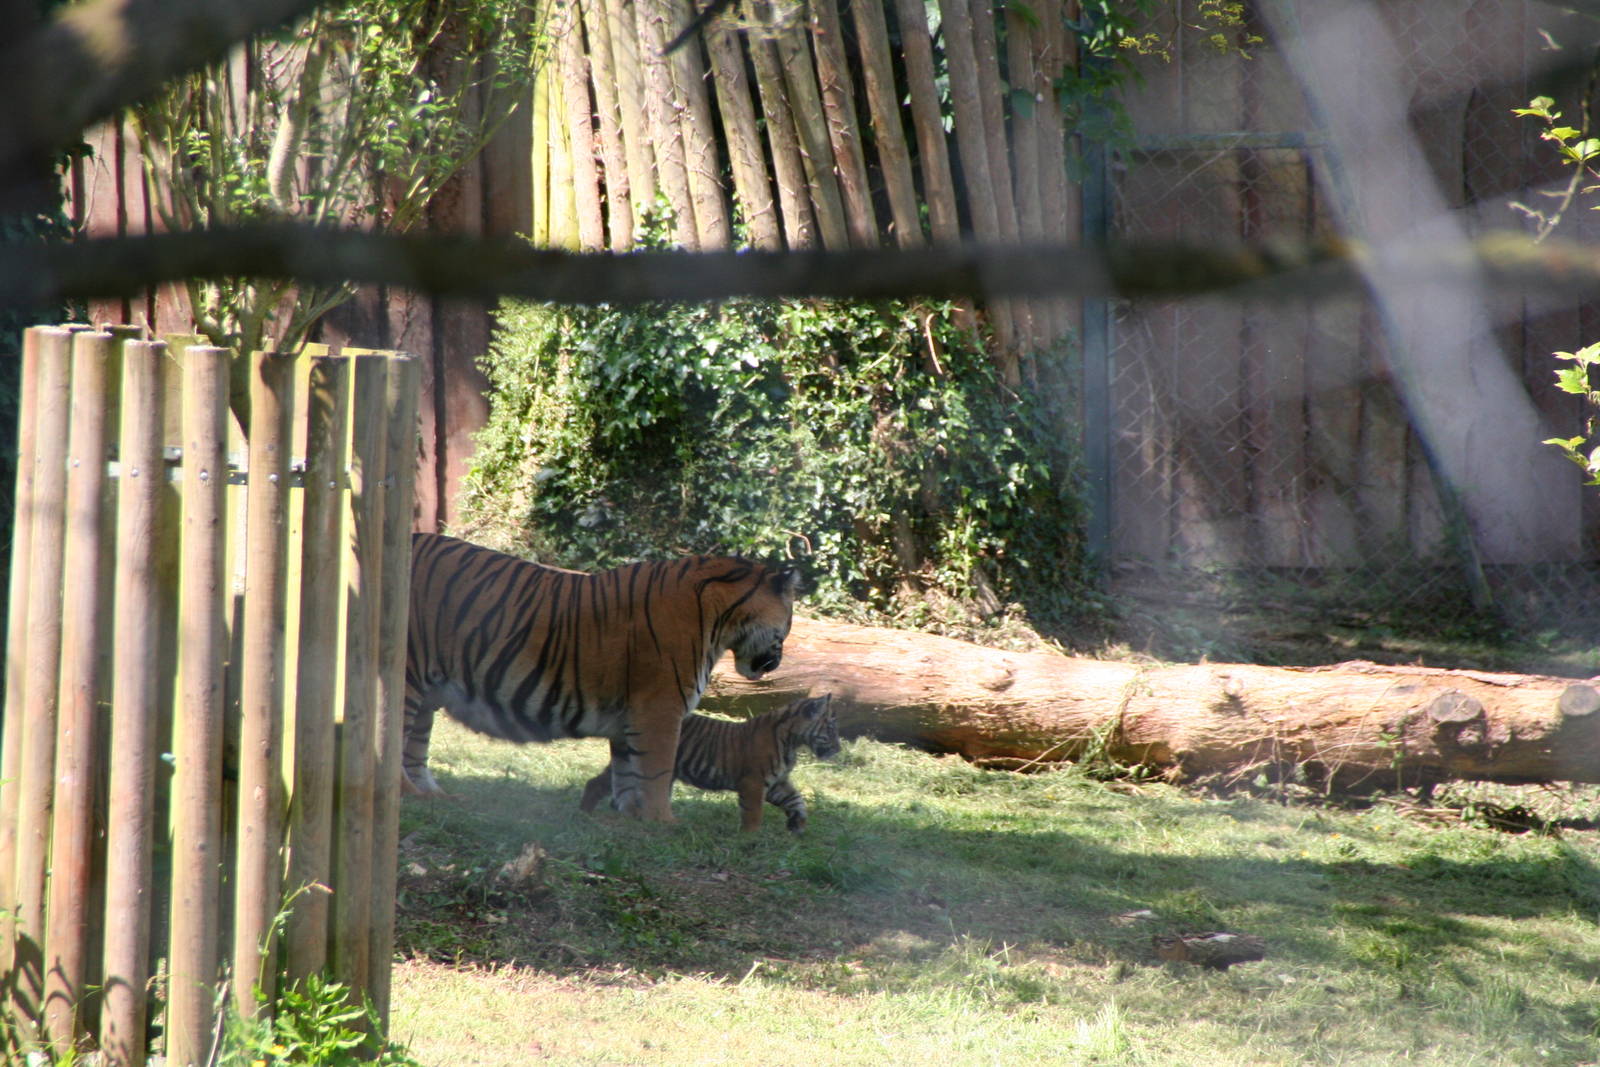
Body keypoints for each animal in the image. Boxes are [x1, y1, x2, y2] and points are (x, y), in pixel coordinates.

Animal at [403, 533, 801, 822]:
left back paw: (434, 797)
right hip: (407, 677)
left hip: (427, 694)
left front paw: (627, 817)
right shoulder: (660, 710)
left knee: (415, 749)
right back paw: (408, 796)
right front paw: (663, 822)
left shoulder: (632, 717)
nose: (776, 664)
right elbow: (657, 771)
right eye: (789, 623)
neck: (721, 619)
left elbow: (627, 771)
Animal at [579, 694, 840, 833]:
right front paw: (751, 836)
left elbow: (796, 800)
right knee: (601, 785)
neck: (793, 741)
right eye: (830, 728)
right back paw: (585, 815)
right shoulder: (754, 782)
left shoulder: (777, 782)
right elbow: (753, 812)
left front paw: (798, 824)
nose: (838, 749)